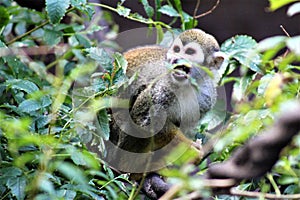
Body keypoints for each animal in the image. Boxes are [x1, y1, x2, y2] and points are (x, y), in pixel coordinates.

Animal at [106, 28, 224, 174]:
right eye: (177, 49)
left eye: (190, 52)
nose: (175, 58)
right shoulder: (165, 85)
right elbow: (144, 120)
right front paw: (191, 151)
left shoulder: (207, 98)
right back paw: (132, 169)